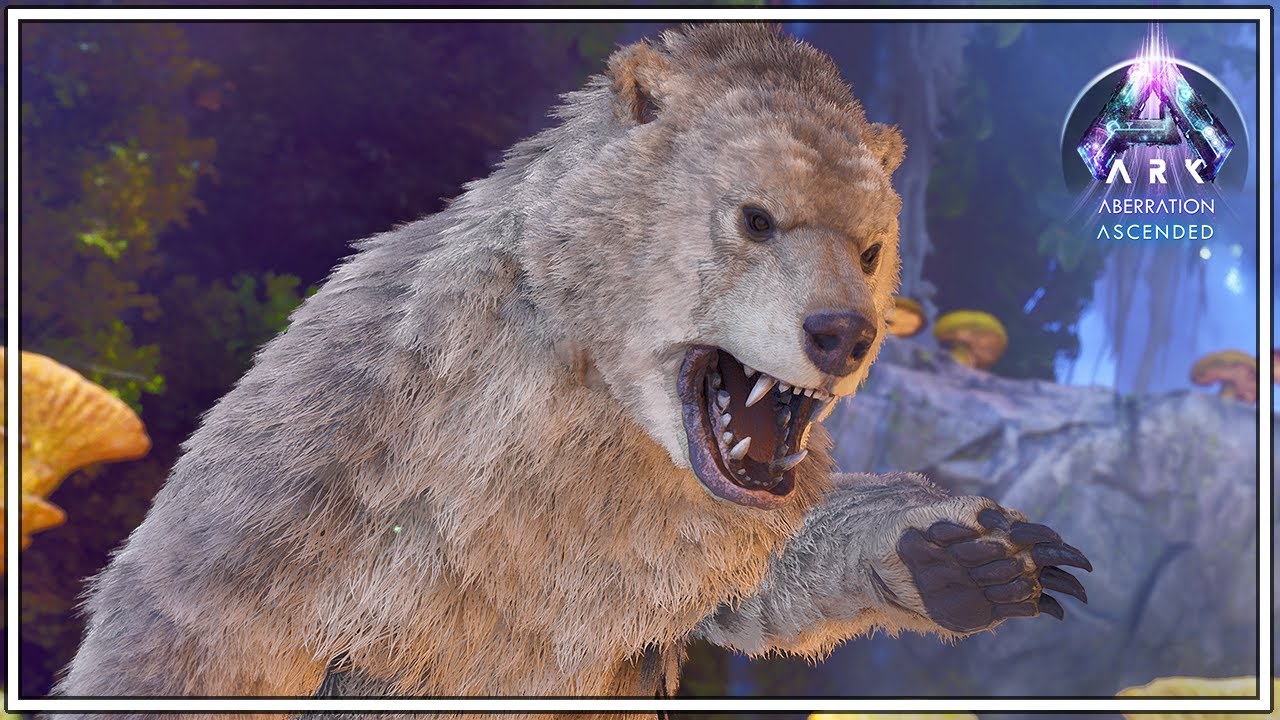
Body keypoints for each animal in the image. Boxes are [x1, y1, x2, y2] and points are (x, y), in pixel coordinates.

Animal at [55, 22, 1090, 719]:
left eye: (872, 248)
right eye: (756, 217)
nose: (845, 333)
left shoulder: (680, 535)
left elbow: (753, 581)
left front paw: (983, 555)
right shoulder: (368, 406)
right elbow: (206, 609)